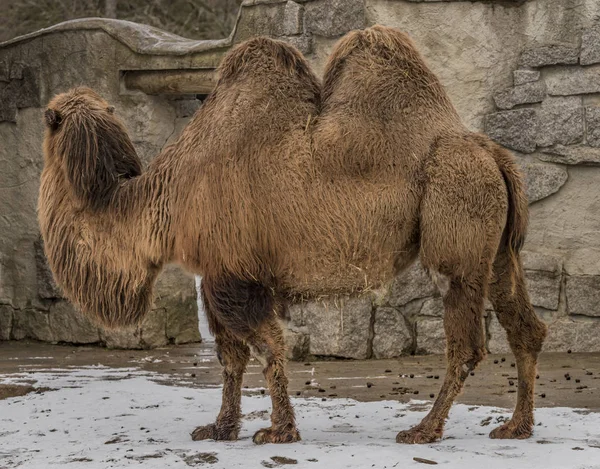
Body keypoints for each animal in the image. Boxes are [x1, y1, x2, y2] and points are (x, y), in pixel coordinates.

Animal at [37, 26, 548, 446]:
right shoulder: (215, 274)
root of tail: (495, 155)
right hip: (497, 249)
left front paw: (278, 431)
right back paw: (516, 426)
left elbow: (266, 348)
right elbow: (230, 357)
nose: (49, 110)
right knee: (525, 326)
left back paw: (423, 430)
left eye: (52, 117)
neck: (164, 201)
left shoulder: (234, 276)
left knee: (466, 342)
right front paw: (220, 428)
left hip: (457, 223)